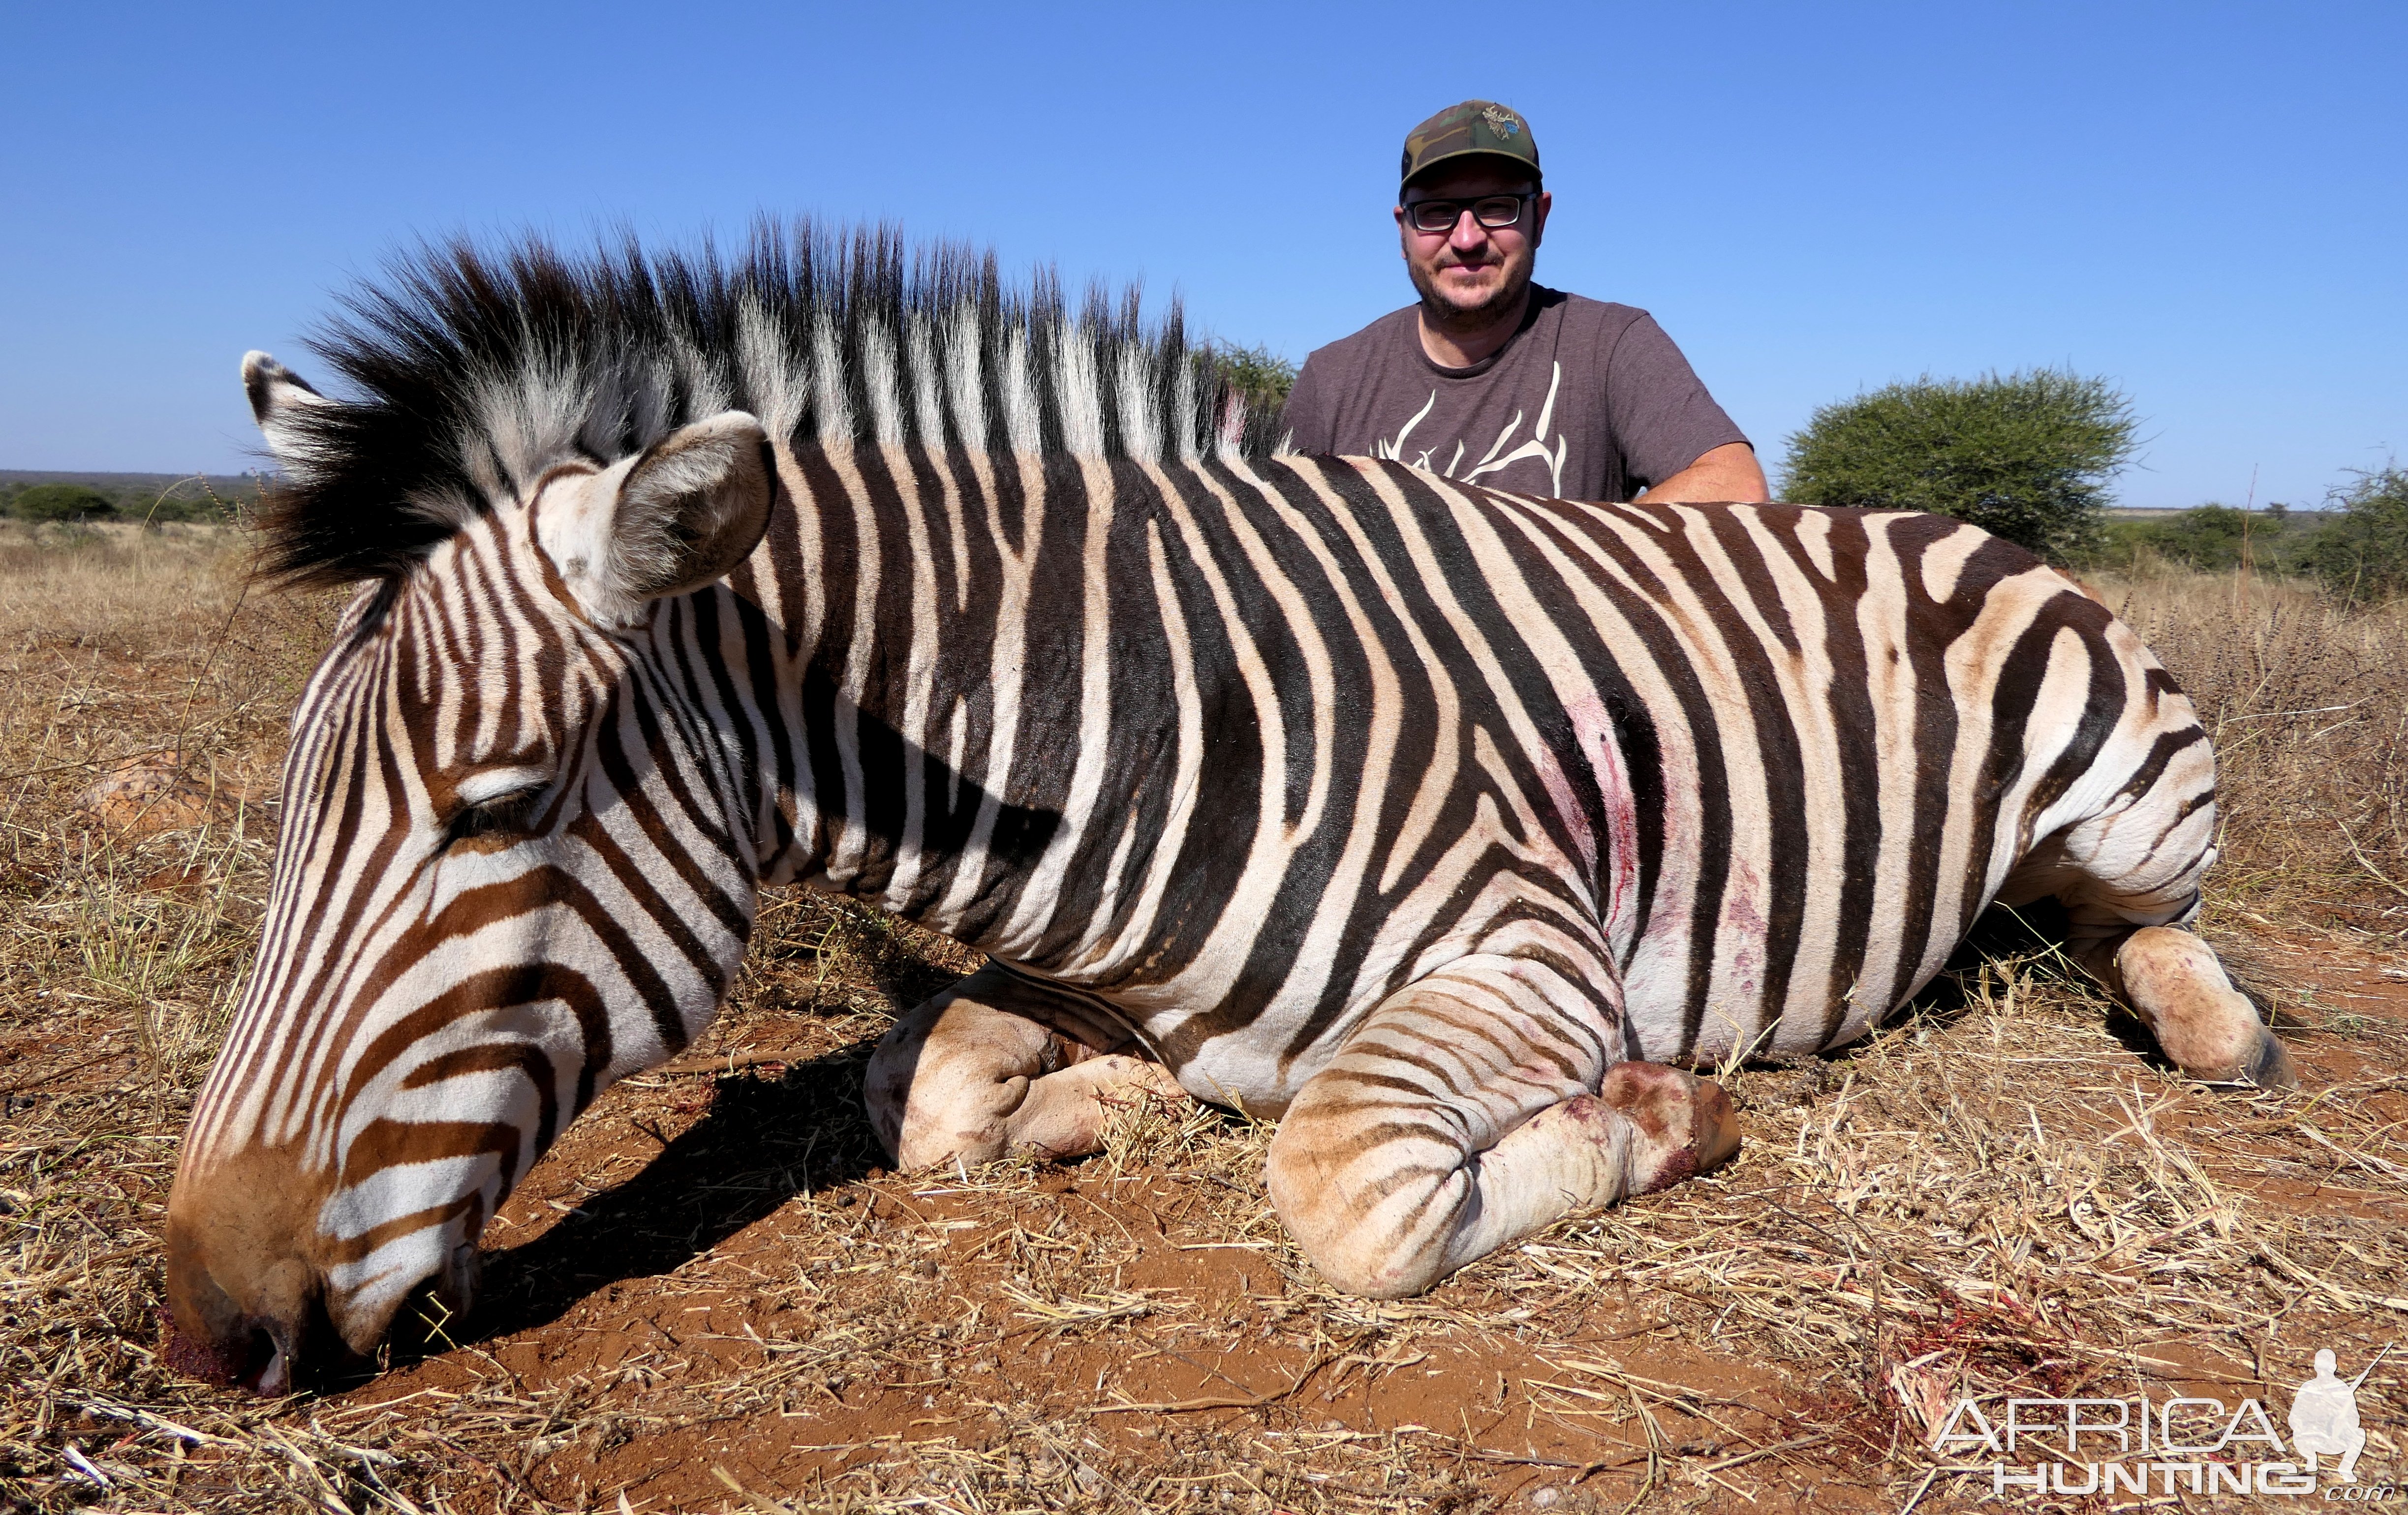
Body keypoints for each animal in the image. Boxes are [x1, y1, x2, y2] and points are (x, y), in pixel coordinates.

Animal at [160, 224, 2283, 1397]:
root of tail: (1951, 510)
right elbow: (925, 1096)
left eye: (495, 809)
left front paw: (1663, 1118)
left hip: (2123, 796)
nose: (202, 1330)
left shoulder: (1535, 962)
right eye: (289, 812)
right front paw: (1106, 1099)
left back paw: (2216, 1028)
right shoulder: (1061, 960)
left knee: (2147, 930)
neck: (1149, 726)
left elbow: (1346, 1188)